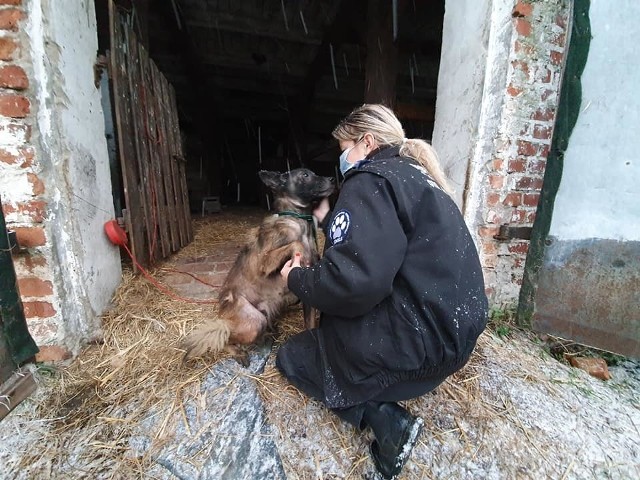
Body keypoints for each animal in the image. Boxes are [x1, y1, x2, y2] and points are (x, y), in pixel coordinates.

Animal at [181, 169, 336, 364]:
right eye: (305, 175)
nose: (332, 179)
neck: (297, 220)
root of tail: (222, 316)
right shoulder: (265, 260)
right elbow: (295, 244)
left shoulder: (307, 294)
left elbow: (311, 326)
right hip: (254, 321)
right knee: (224, 337)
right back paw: (238, 352)